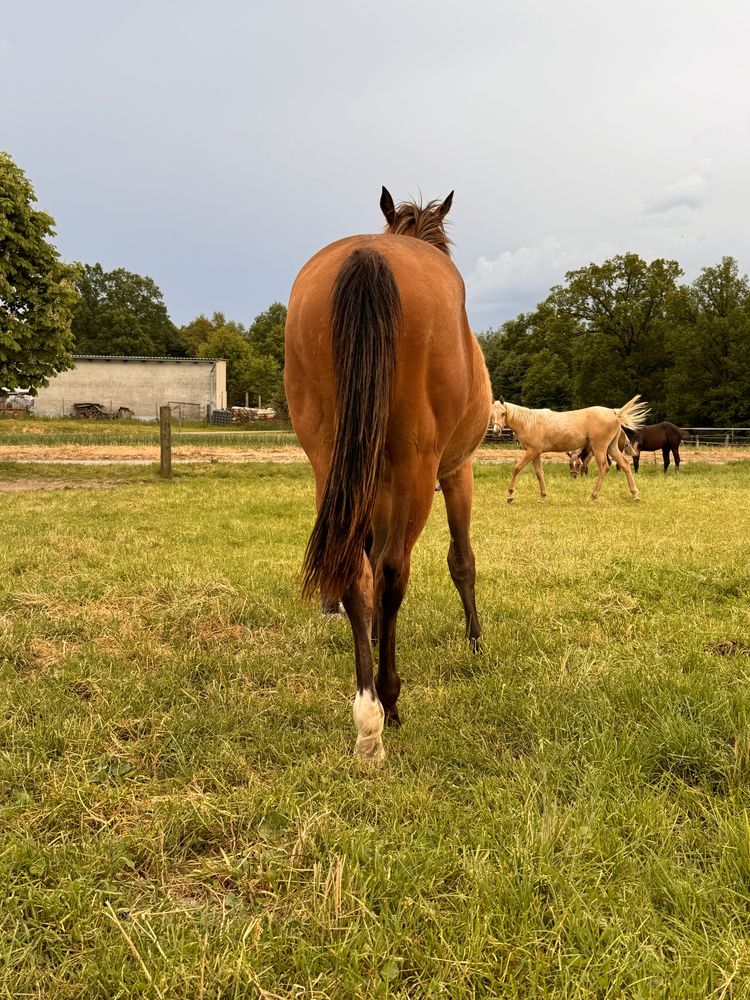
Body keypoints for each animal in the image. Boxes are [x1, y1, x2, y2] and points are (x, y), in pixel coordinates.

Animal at [286, 189, 494, 764]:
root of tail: (369, 257)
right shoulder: (457, 471)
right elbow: (461, 560)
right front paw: (475, 642)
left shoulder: (370, 486)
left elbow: (370, 557)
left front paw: (376, 637)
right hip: (418, 468)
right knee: (395, 569)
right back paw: (388, 701)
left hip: (327, 458)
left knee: (356, 571)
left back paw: (367, 710)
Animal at [494, 396, 652, 504]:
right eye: (492, 414)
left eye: (503, 413)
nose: (496, 431)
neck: (529, 422)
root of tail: (614, 412)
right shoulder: (536, 453)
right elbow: (539, 474)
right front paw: (543, 496)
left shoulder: (531, 452)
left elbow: (516, 468)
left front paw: (510, 495)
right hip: (611, 448)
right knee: (625, 465)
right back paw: (635, 495)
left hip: (600, 448)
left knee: (604, 467)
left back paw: (593, 496)